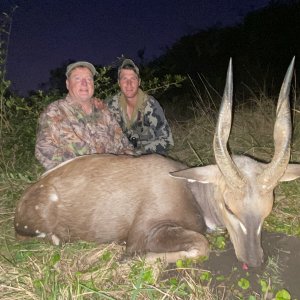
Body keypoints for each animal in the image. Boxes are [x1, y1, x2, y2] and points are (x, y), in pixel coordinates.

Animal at [14, 58, 300, 268]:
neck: (188, 189)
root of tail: (24, 201)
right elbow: (200, 245)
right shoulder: (146, 232)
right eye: (230, 208)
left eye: (267, 210)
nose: (254, 261)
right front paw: (132, 259)